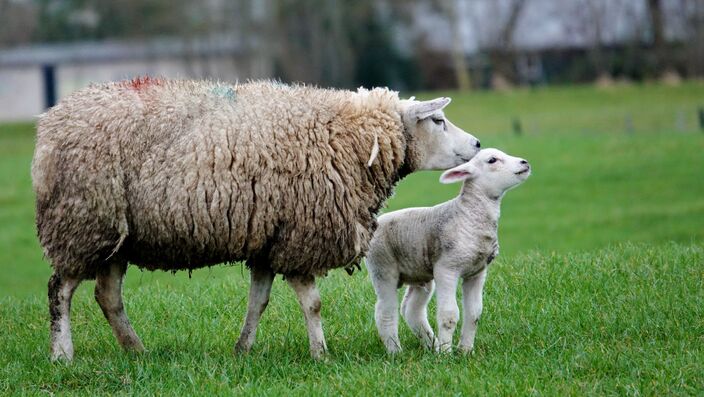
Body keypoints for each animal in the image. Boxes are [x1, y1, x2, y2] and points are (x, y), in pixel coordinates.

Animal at [34, 77, 484, 358]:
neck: (350, 137)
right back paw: (62, 354)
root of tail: (50, 125)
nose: (479, 144)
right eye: (438, 121)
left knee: (107, 296)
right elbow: (313, 304)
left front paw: (243, 349)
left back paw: (136, 350)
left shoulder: (270, 236)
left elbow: (258, 302)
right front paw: (321, 353)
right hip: (82, 221)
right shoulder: (301, 232)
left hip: (115, 237)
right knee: (60, 291)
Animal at [366, 148, 532, 352]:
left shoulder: (477, 272)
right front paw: (446, 353)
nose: (524, 163)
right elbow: (449, 315)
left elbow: (474, 313)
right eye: (492, 160)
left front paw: (465, 351)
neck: (469, 215)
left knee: (411, 310)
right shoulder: (446, 269)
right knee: (385, 312)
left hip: (418, 272)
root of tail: (375, 223)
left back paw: (431, 345)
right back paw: (396, 351)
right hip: (382, 268)